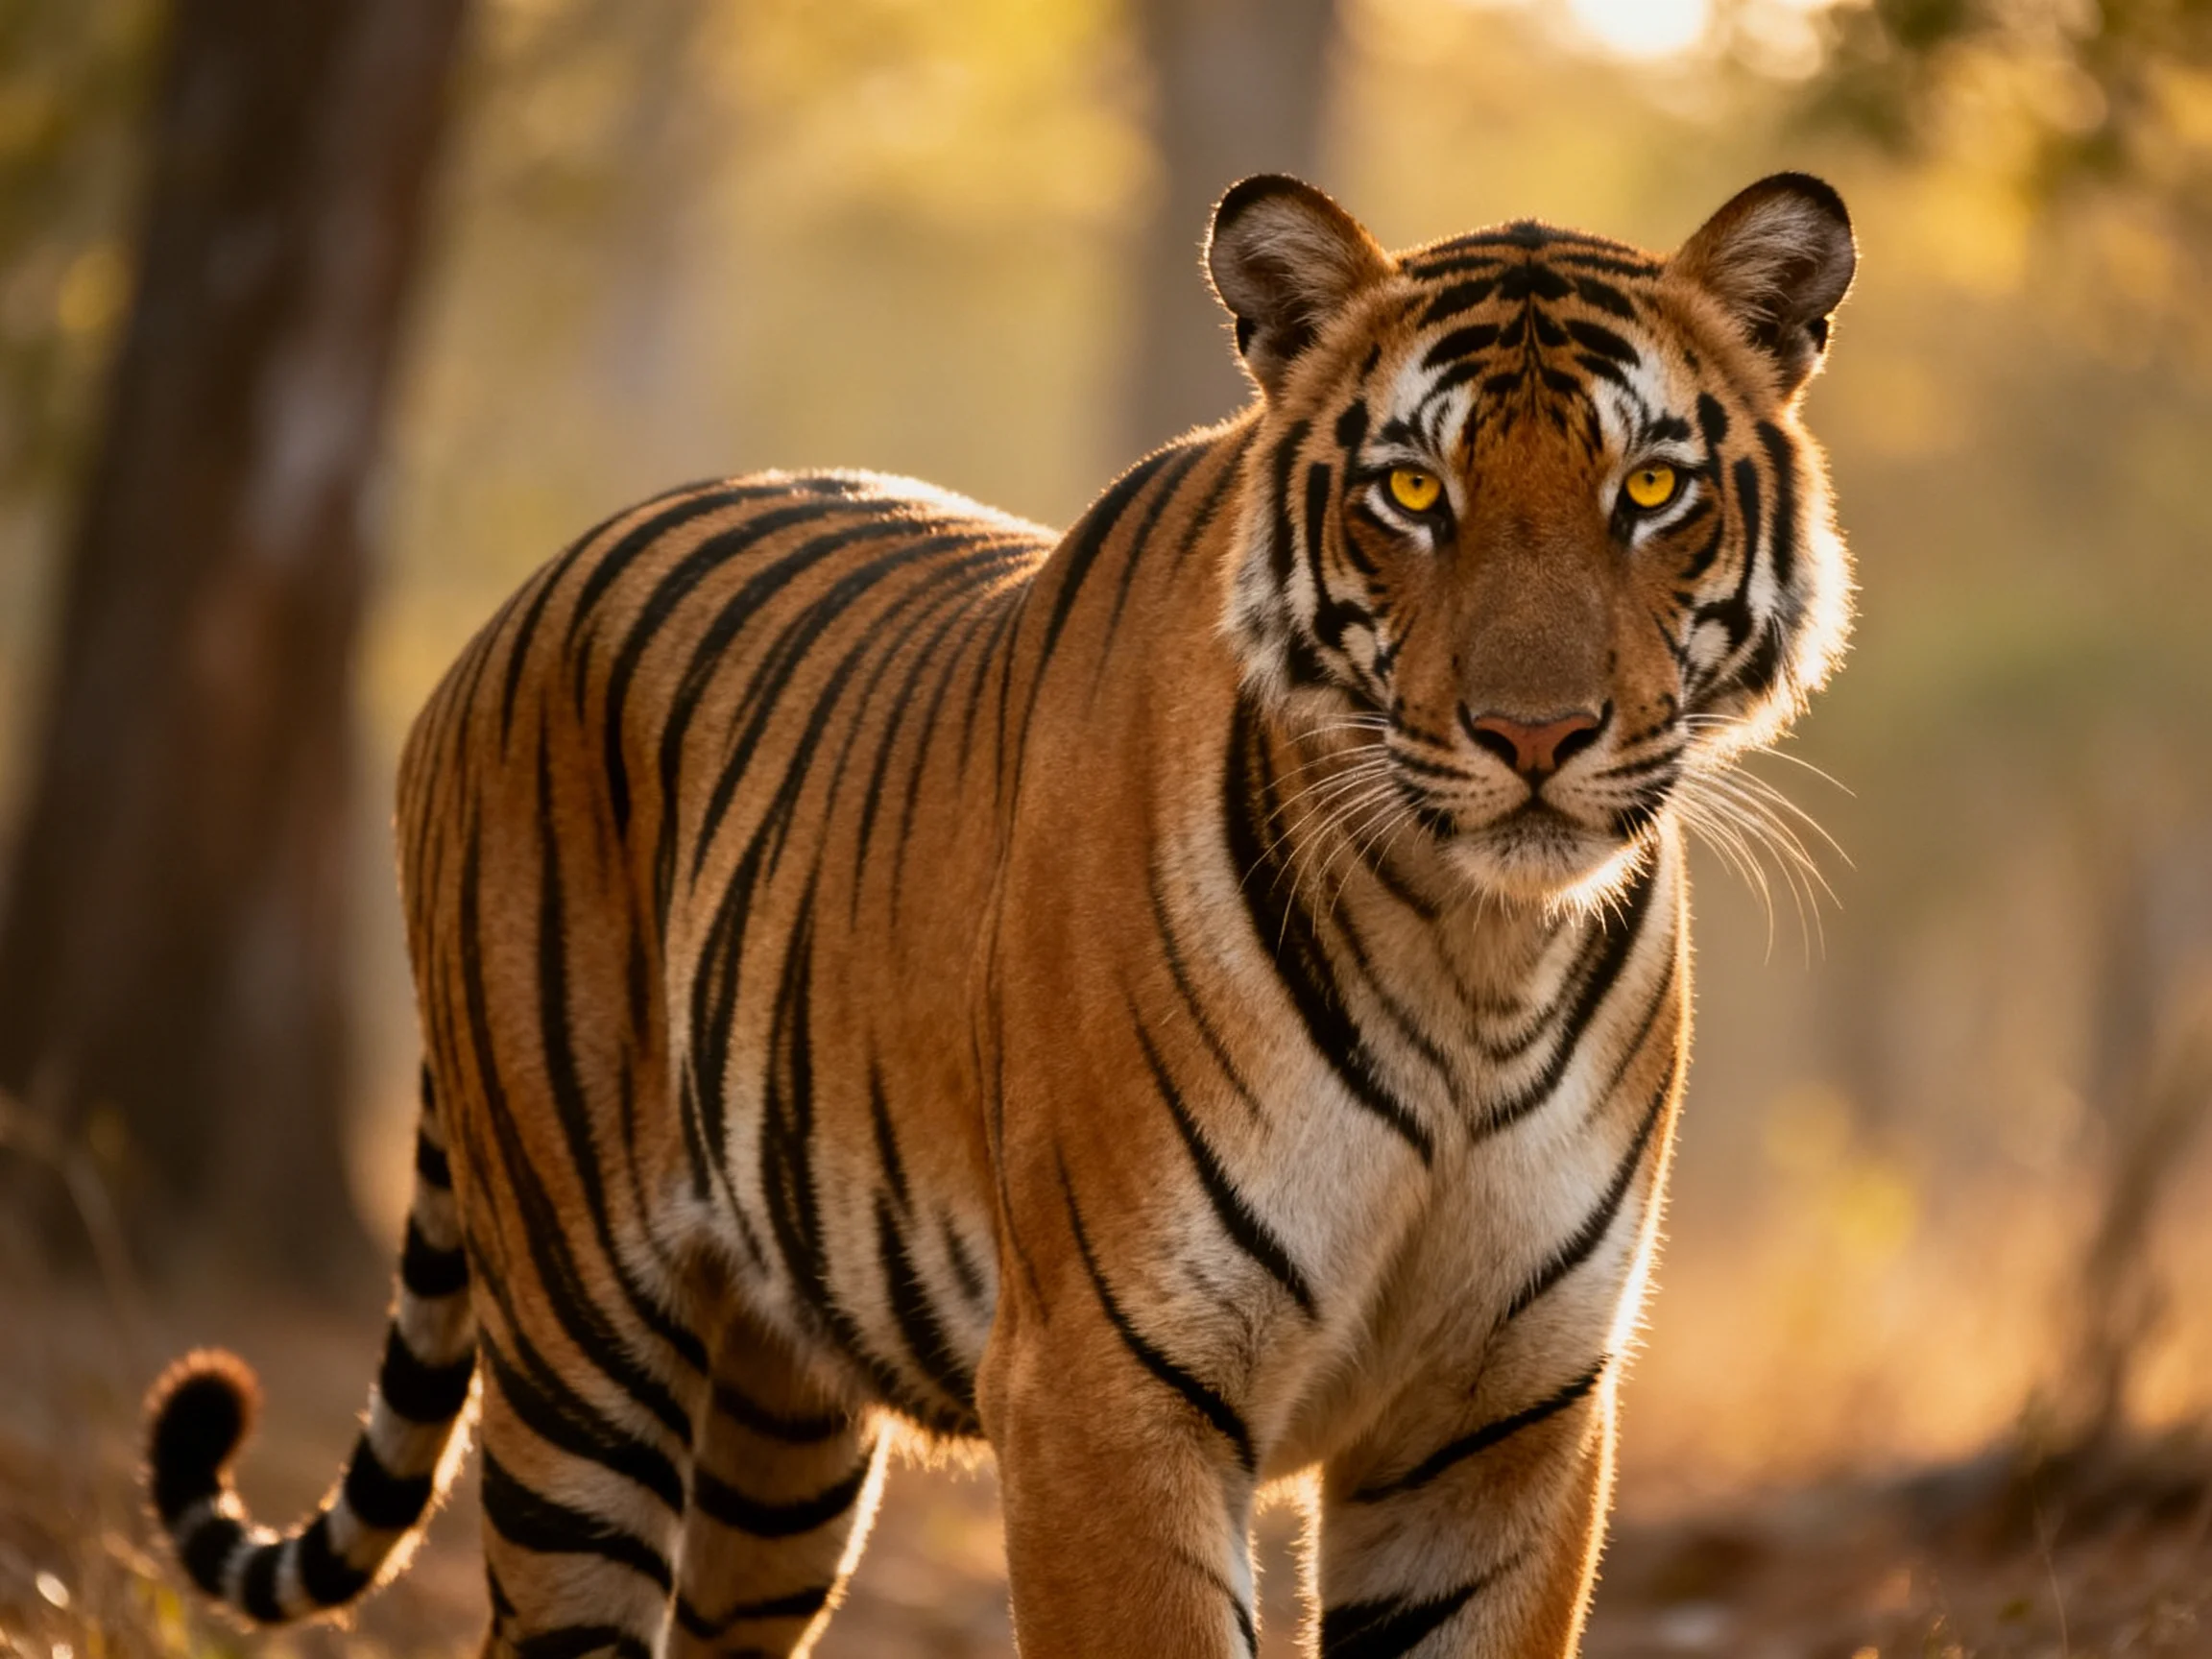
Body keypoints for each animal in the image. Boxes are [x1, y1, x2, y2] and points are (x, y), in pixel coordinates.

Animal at [143, 170, 1854, 1658]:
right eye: (1413, 492)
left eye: (1650, 488)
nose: (1534, 735)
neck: (1471, 951)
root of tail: (509, 608)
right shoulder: (1109, 1386)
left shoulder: (1500, 1425)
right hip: (582, 1351)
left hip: (777, 1436)